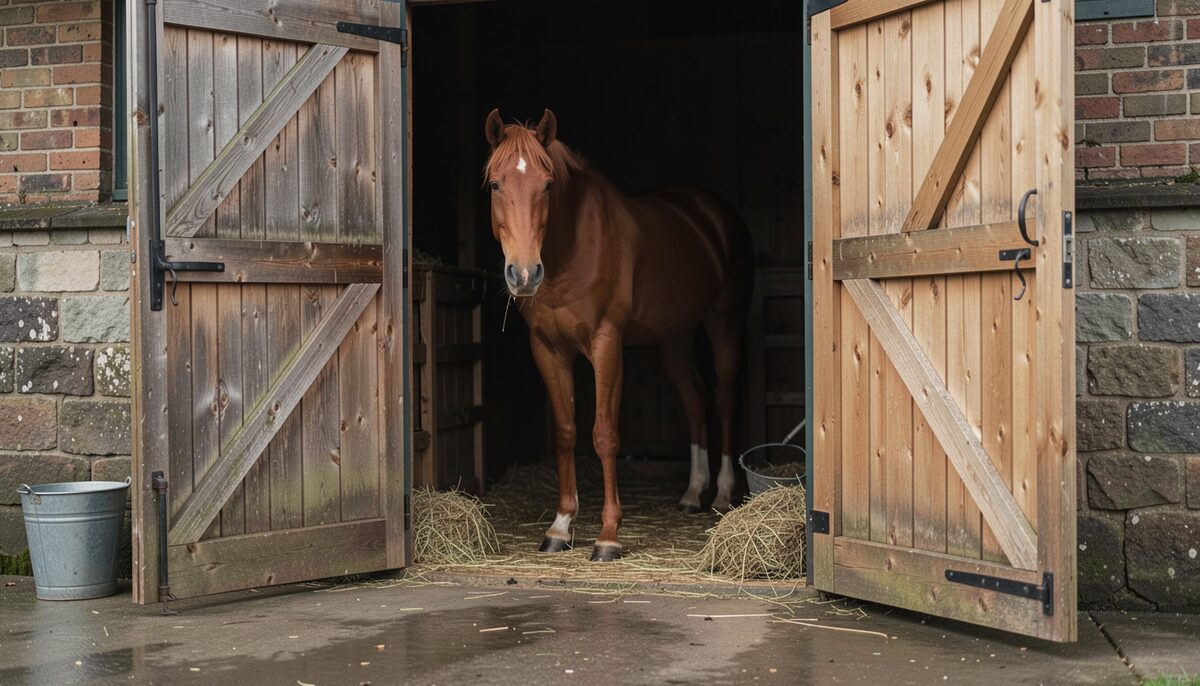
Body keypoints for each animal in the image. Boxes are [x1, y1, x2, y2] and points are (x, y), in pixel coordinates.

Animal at [484, 108, 753, 562]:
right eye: (495, 183)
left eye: (548, 184)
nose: (523, 274)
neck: (571, 247)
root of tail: (712, 213)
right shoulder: (548, 349)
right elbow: (566, 432)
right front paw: (560, 526)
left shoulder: (606, 343)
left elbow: (604, 434)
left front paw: (608, 536)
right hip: (674, 337)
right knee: (694, 398)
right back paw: (692, 493)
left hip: (724, 322)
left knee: (723, 398)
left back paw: (721, 494)